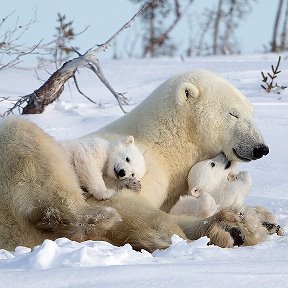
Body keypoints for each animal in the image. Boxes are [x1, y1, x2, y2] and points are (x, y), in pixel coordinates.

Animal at [0, 70, 270, 252]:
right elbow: (128, 204)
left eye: (252, 113)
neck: (164, 143)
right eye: (233, 114)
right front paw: (172, 234)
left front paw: (242, 225)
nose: (261, 148)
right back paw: (99, 216)